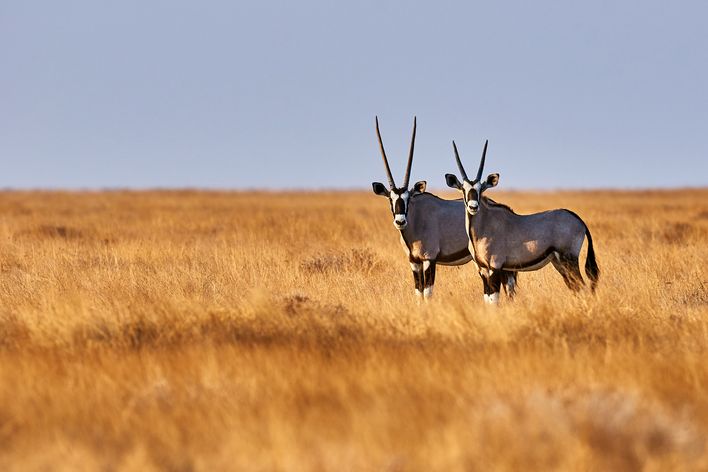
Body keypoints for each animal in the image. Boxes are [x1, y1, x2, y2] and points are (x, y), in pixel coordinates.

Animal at [374, 115, 516, 296]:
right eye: (390, 199)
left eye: (408, 198)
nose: (400, 221)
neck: (415, 221)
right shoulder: (414, 262)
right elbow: (418, 292)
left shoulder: (429, 259)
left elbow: (427, 292)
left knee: (509, 285)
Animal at [446, 138, 600, 304]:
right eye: (463, 189)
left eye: (481, 189)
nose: (473, 207)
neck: (481, 229)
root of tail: (579, 221)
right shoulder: (482, 270)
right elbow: (488, 299)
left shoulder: (495, 267)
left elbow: (494, 300)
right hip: (559, 262)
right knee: (575, 287)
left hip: (569, 259)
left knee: (582, 287)